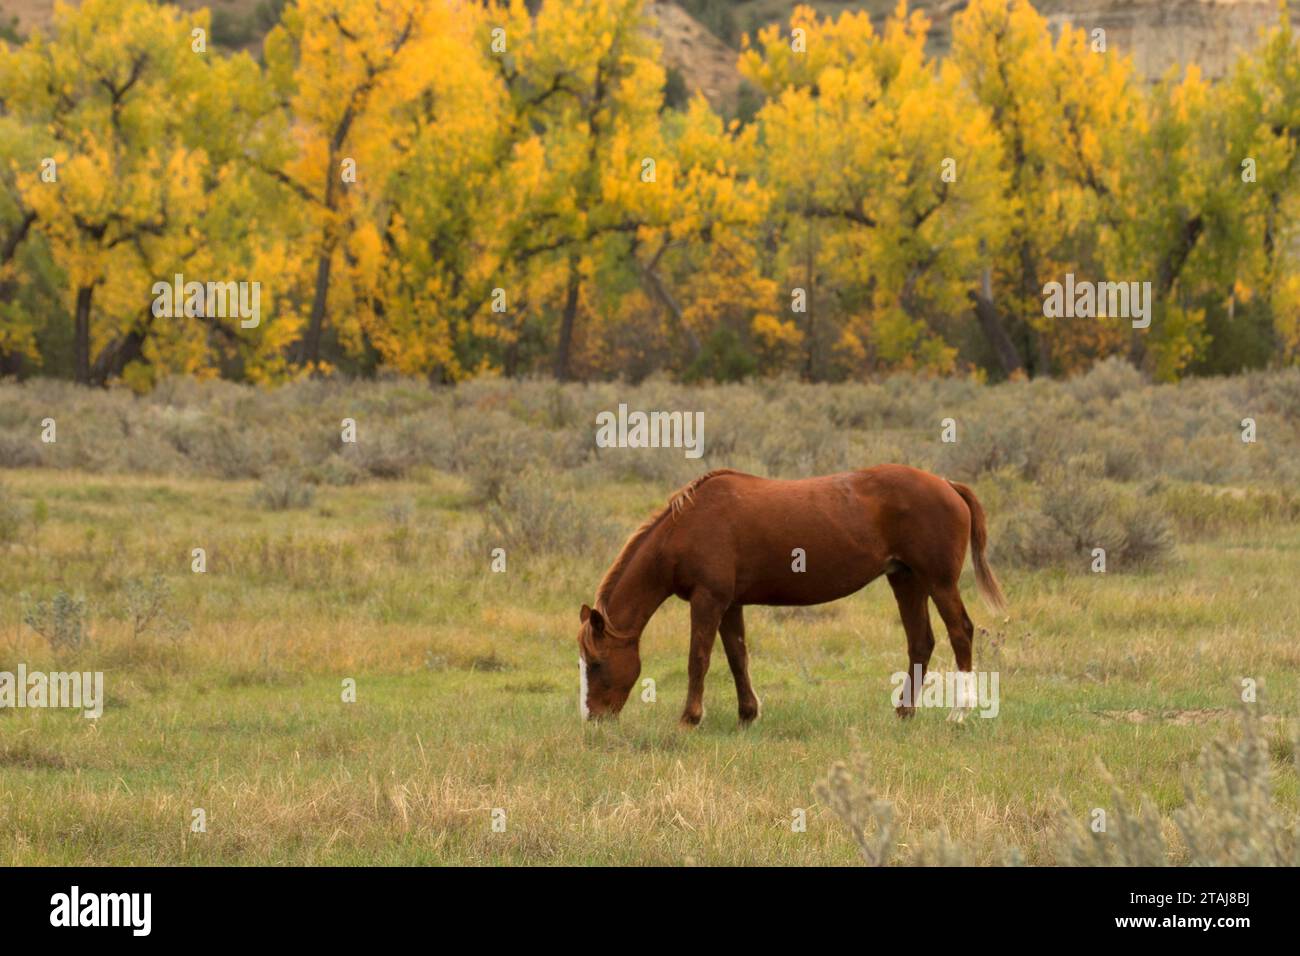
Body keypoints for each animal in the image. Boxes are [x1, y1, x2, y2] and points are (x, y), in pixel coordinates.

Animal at [577, 463, 1003, 723]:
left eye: (596, 663)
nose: (594, 718)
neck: (688, 527)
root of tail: (947, 484)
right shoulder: (730, 604)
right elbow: (737, 658)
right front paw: (747, 713)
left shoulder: (708, 600)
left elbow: (698, 659)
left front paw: (689, 718)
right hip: (906, 580)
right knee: (920, 641)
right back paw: (904, 712)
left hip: (938, 582)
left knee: (960, 633)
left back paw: (959, 712)